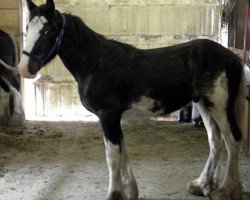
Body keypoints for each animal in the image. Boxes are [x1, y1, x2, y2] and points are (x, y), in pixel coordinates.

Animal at [18, 0, 247, 199]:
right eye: (28, 29)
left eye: (47, 31)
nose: (24, 69)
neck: (95, 65)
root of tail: (233, 57)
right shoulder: (115, 118)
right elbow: (123, 151)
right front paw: (130, 191)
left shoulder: (108, 116)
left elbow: (112, 156)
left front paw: (114, 194)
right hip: (204, 105)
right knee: (215, 141)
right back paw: (202, 186)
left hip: (220, 107)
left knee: (232, 141)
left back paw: (226, 190)